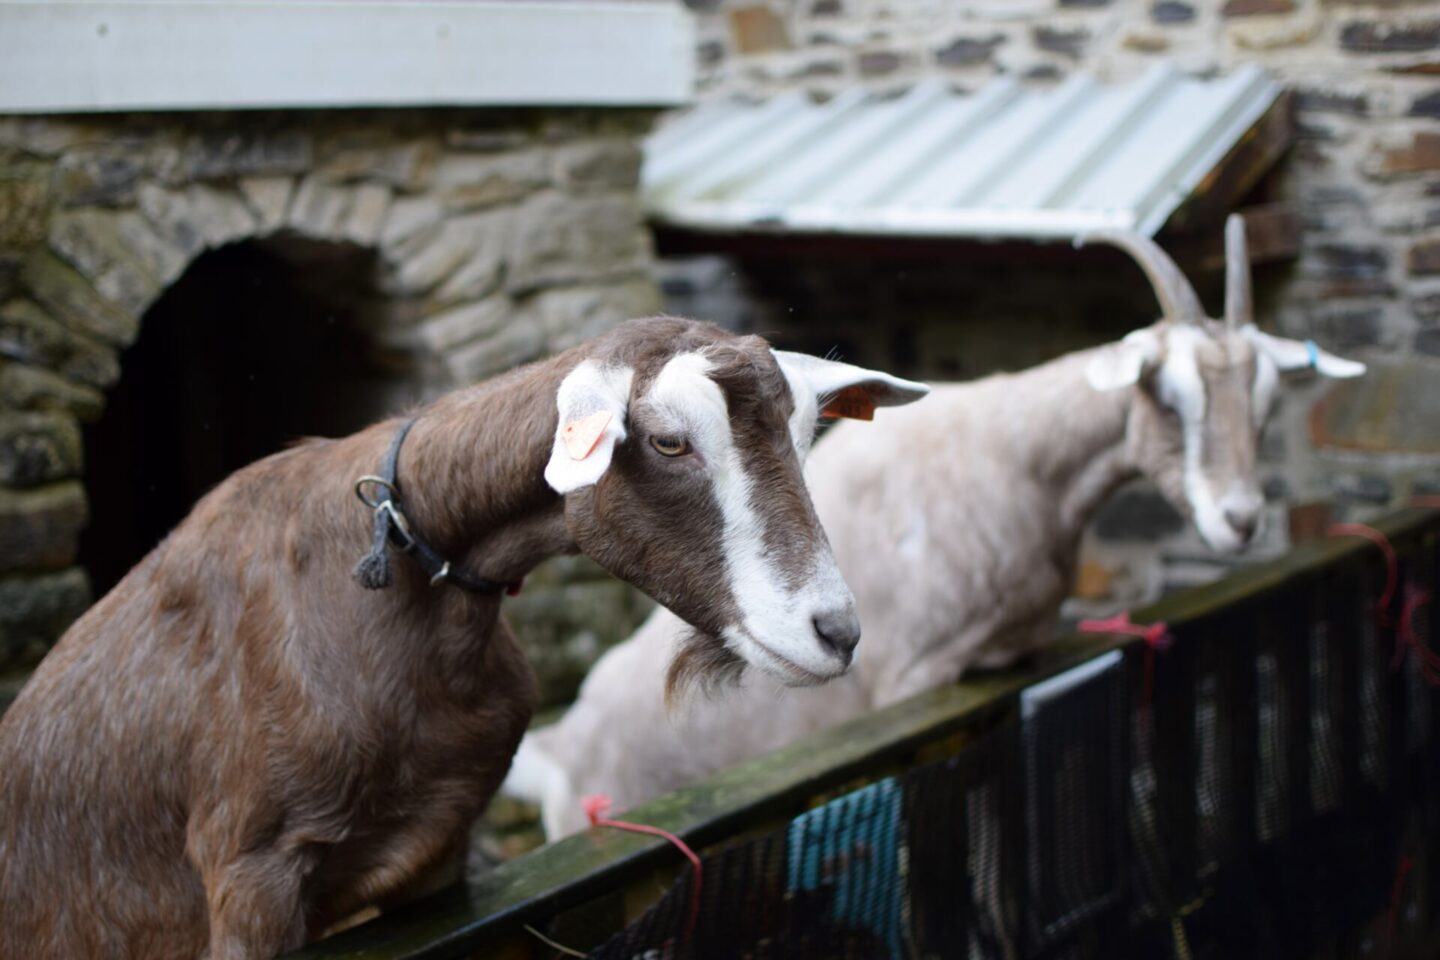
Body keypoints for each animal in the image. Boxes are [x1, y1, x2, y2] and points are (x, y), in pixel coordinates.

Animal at [507, 216, 1366, 840]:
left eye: (1266, 400)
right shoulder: (915, 684)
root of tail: (561, 750)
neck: (1020, 460)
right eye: (1169, 393)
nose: (1240, 521)